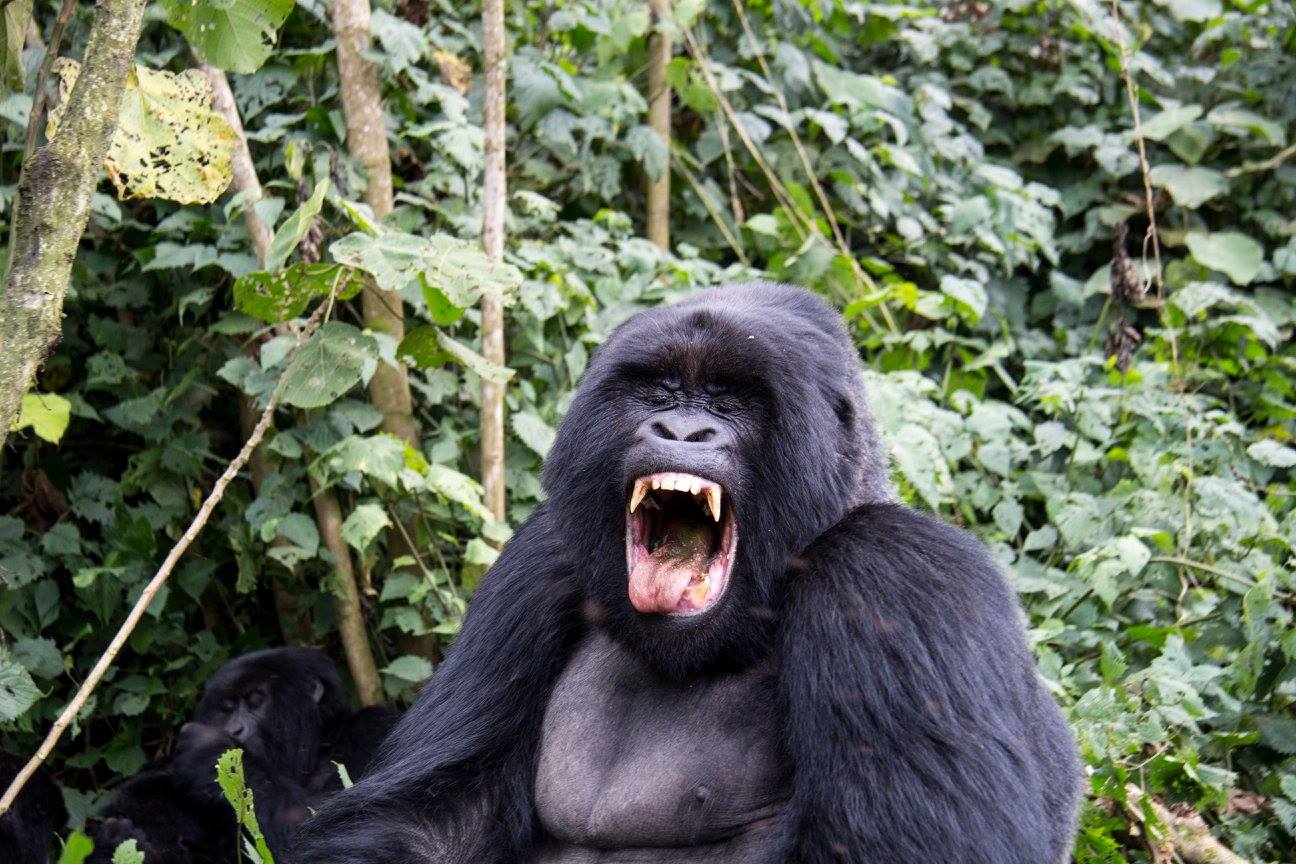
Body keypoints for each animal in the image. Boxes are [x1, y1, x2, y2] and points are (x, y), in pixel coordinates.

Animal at [88, 647, 396, 864]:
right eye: (226, 707)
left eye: (254, 700)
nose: (234, 729)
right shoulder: (155, 779)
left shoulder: (373, 728)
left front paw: (209, 749)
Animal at [294, 284, 1083, 864]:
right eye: (661, 392)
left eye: (730, 403)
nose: (681, 432)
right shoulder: (542, 555)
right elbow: (428, 816)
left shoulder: (897, 574)